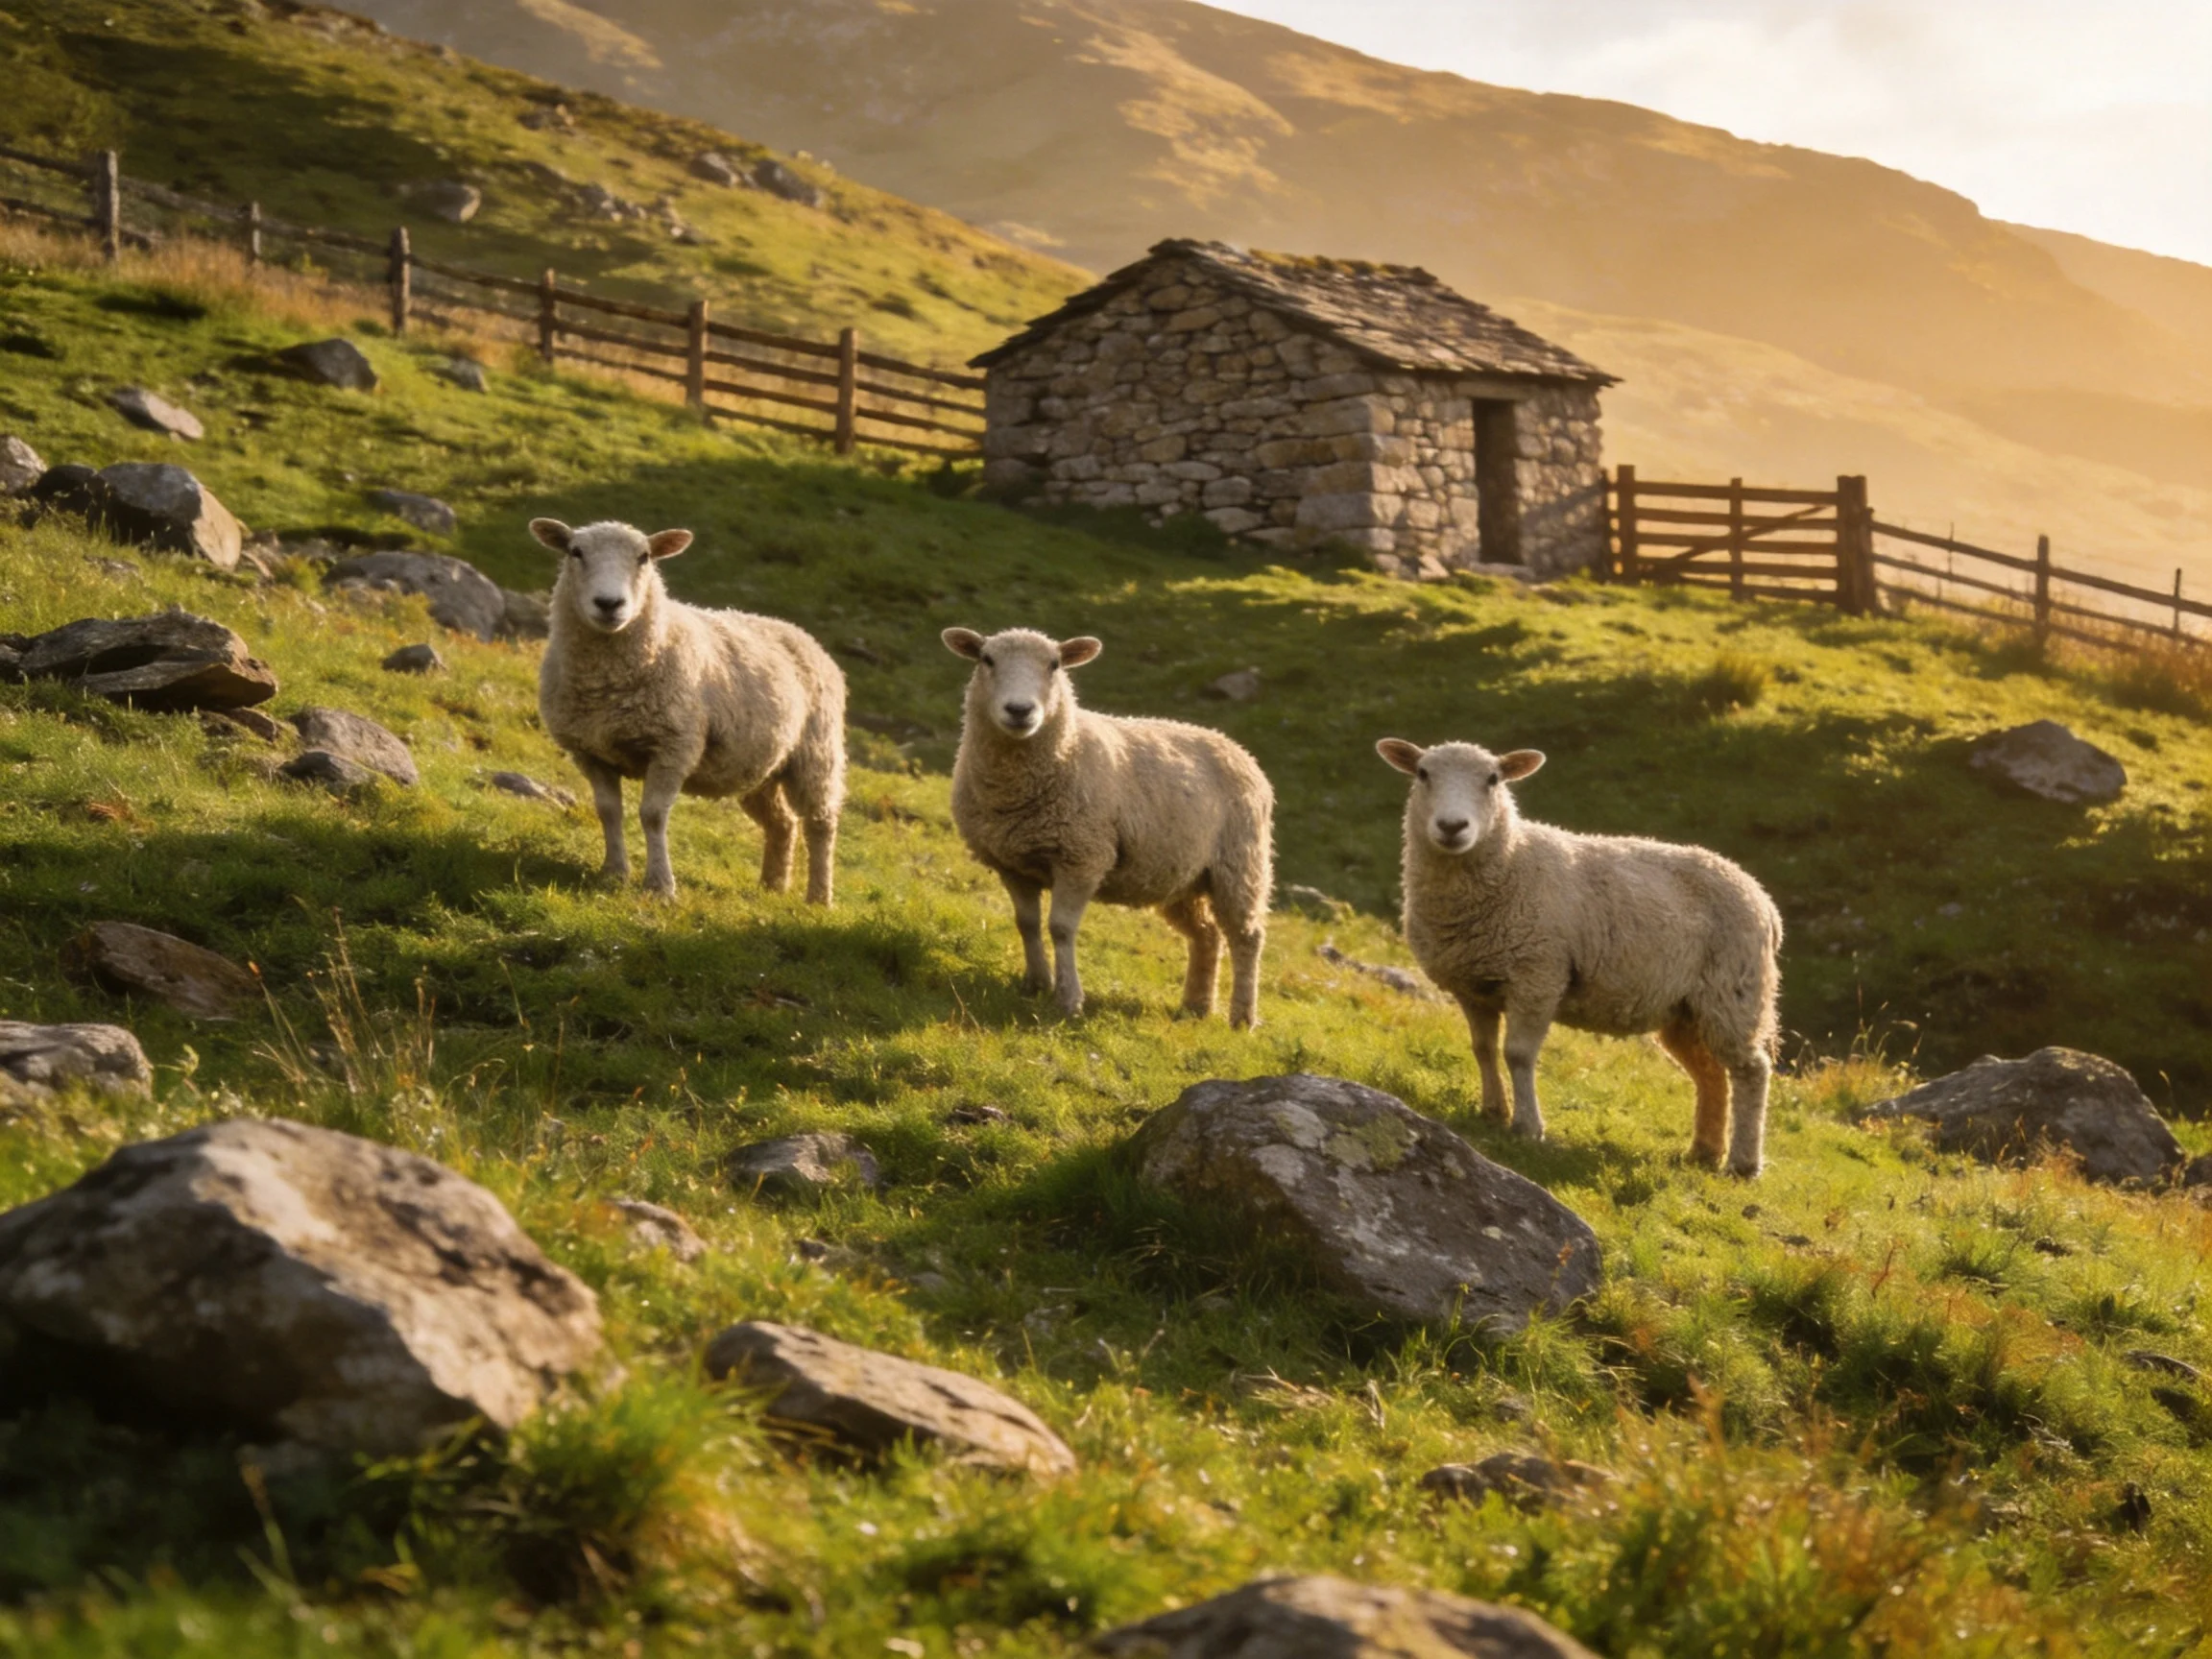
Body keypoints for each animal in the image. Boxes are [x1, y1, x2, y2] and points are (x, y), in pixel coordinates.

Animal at [530, 518, 845, 903]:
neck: (607, 687)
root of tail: (800, 633)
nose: (609, 603)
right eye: (575, 552)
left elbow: (652, 815)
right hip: (760, 767)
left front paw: (660, 886)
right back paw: (771, 887)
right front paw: (614, 872)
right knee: (782, 822)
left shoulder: (674, 746)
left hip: (817, 753)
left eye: (644, 557)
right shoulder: (590, 750)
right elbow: (608, 811)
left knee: (820, 822)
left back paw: (818, 898)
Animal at [942, 626, 1274, 1027]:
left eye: (1054, 665)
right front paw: (1035, 983)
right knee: (1207, 935)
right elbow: (1027, 923)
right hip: (1181, 876)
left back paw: (1242, 1017)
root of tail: (1237, 747)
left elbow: (1060, 928)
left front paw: (1068, 999)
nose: (1020, 710)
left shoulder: (1082, 857)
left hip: (1240, 864)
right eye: (987, 660)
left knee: (1246, 937)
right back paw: (1195, 1006)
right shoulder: (1011, 863)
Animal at [1376, 738, 1782, 1176]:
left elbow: (1517, 1053)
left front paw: (1528, 1127)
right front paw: (1493, 1112)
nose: (1452, 827)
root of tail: (1762, 897)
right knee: (1711, 1074)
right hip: (1686, 1010)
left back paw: (1743, 1164)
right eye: (1423, 773)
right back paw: (1704, 1153)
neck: (1511, 862)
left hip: (1734, 992)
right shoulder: (1473, 985)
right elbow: (1483, 1048)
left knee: (1751, 1071)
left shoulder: (1538, 974)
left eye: (1493, 779)